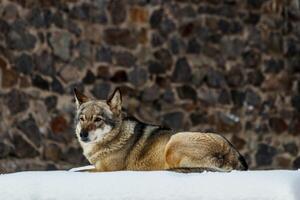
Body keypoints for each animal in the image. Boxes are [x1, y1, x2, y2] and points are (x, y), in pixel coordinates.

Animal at [74, 88, 247, 173]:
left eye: (98, 119)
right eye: (82, 119)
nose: (83, 134)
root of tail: (229, 151)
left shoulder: (106, 169)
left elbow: (80, 172)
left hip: (173, 143)